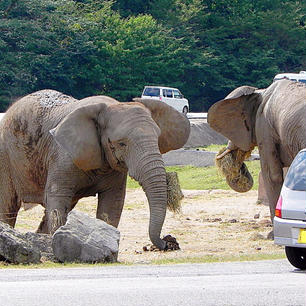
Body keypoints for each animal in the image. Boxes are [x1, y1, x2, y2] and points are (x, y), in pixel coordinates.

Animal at [0, 89, 190, 251]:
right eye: (121, 143)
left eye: (157, 139)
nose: (168, 242)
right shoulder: (62, 155)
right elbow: (57, 200)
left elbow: (113, 203)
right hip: (5, 155)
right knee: (8, 205)